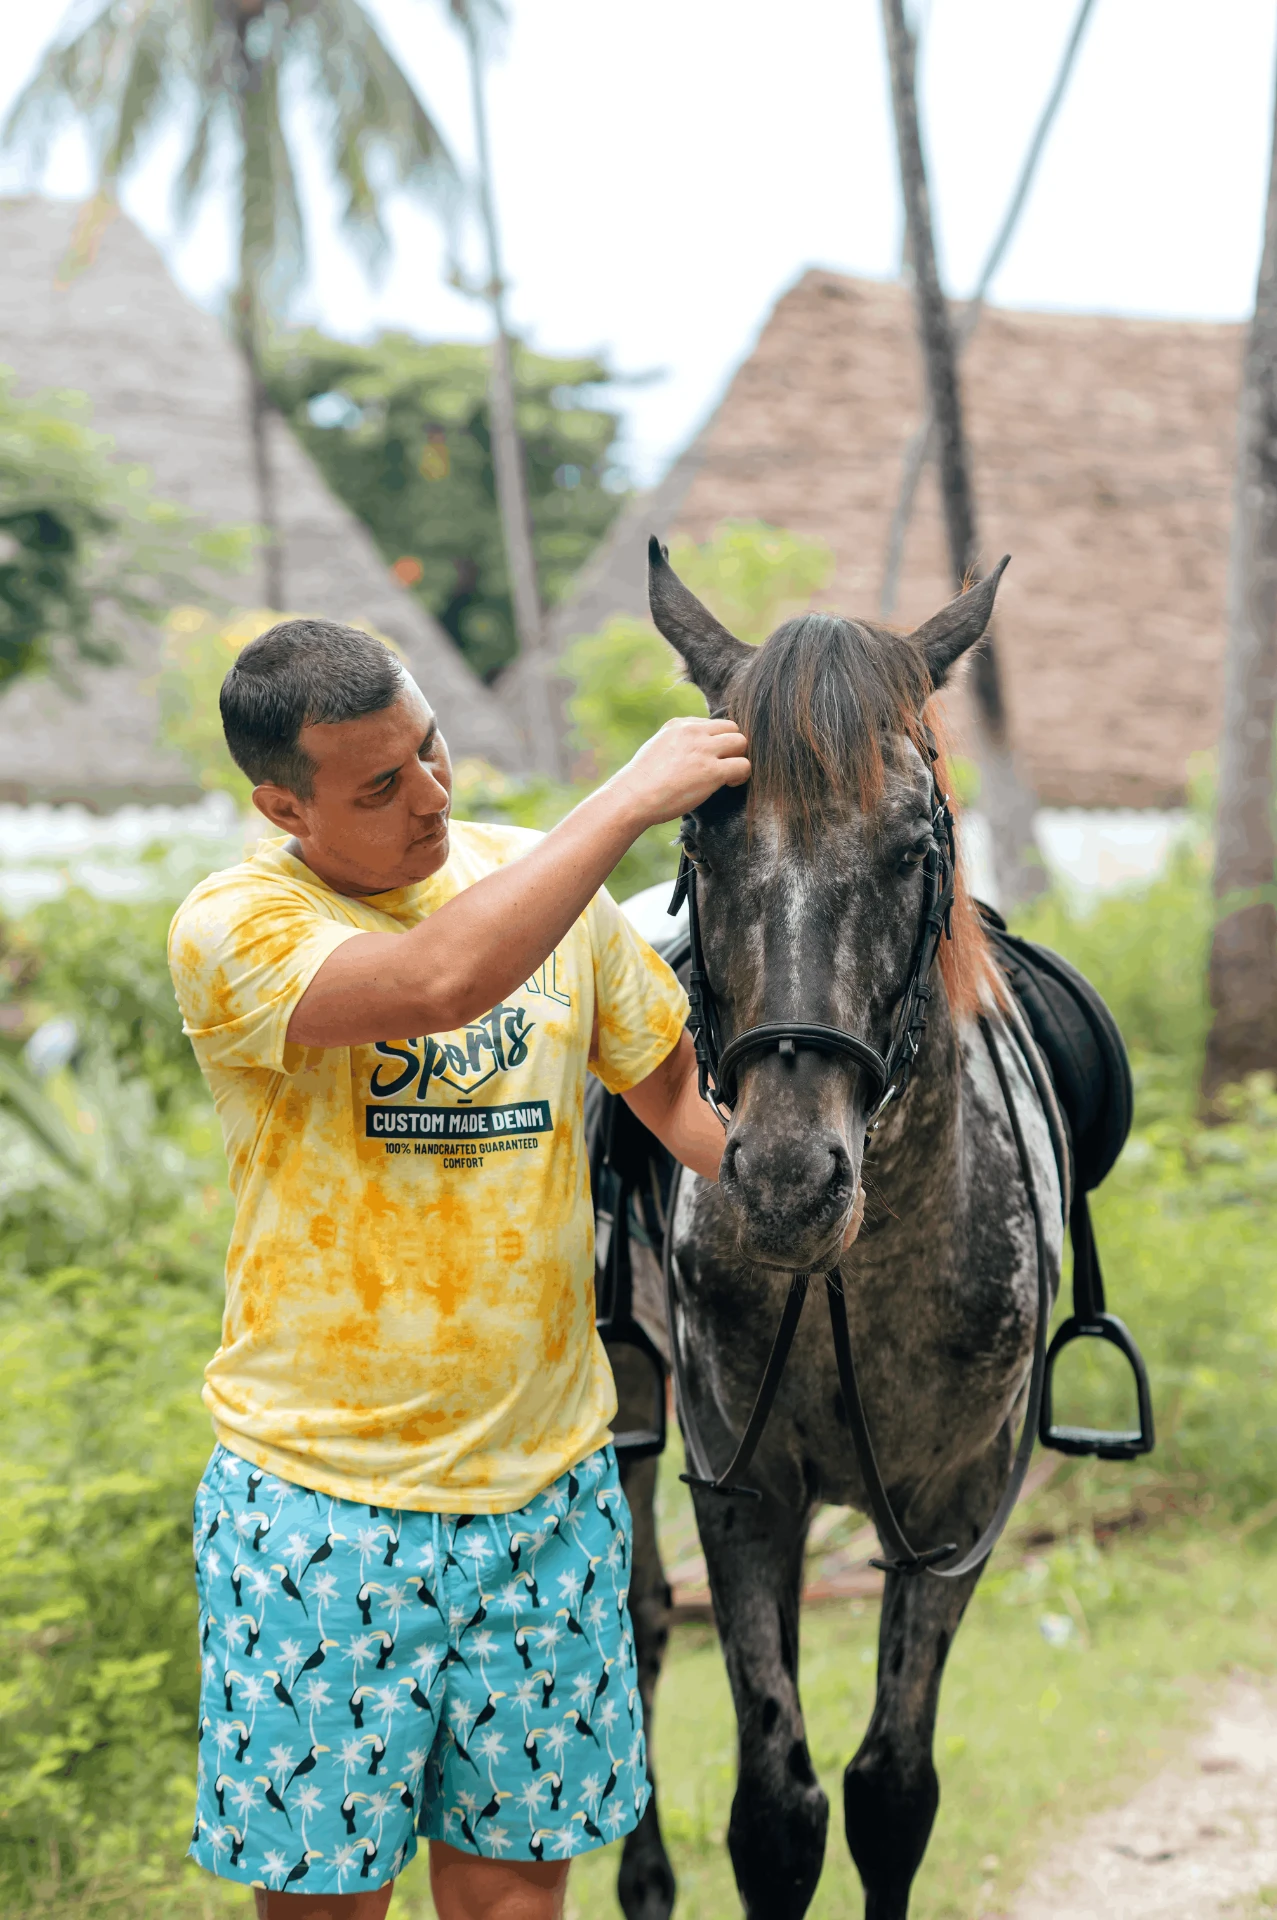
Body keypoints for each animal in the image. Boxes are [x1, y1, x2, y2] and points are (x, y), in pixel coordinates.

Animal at [612, 542, 1065, 1920]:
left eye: (914, 844)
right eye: (701, 834)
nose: (781, 1177)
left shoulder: (956, 1509)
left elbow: (888, 1791)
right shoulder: (746, 1488)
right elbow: (776, 1812)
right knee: (639, 1616)